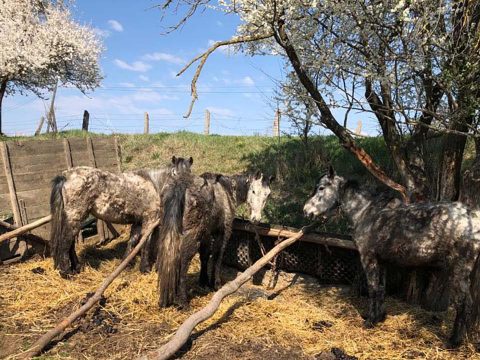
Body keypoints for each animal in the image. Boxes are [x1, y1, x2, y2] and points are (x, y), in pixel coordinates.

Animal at [50, 156, 193, 278]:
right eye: (174, 173)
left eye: (190, 174)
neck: (154, 184)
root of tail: (66, 176)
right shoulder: (149, 220)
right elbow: (145, 243)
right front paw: (145, 268)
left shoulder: (138, 222)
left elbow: (133, 242)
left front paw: (125, 265)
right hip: (75, 216)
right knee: (65, 242)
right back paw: (66, 272)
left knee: (70, 244)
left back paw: (77, 268)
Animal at [156, 171, 272, 306]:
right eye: (253, 191)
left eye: (268, 194)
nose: (256, 219)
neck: (227, 190)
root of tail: (180, 185)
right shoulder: (223, 232)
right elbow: (217, 256)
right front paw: (215, 284)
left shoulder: (207, 234)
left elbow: (205, 256)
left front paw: (203, 281)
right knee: (184, 260)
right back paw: (183, 301)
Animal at [304, 166, 480, 346]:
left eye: (321, 188)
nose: (306, 212)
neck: (366, 212)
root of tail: (472, 216)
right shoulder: (381, 261)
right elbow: (381, 289)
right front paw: (379, 317)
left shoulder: (369, 258)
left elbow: (373, 288)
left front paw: (370, 321)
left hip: (459, 270)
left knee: (464, 304)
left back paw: (454, 341)